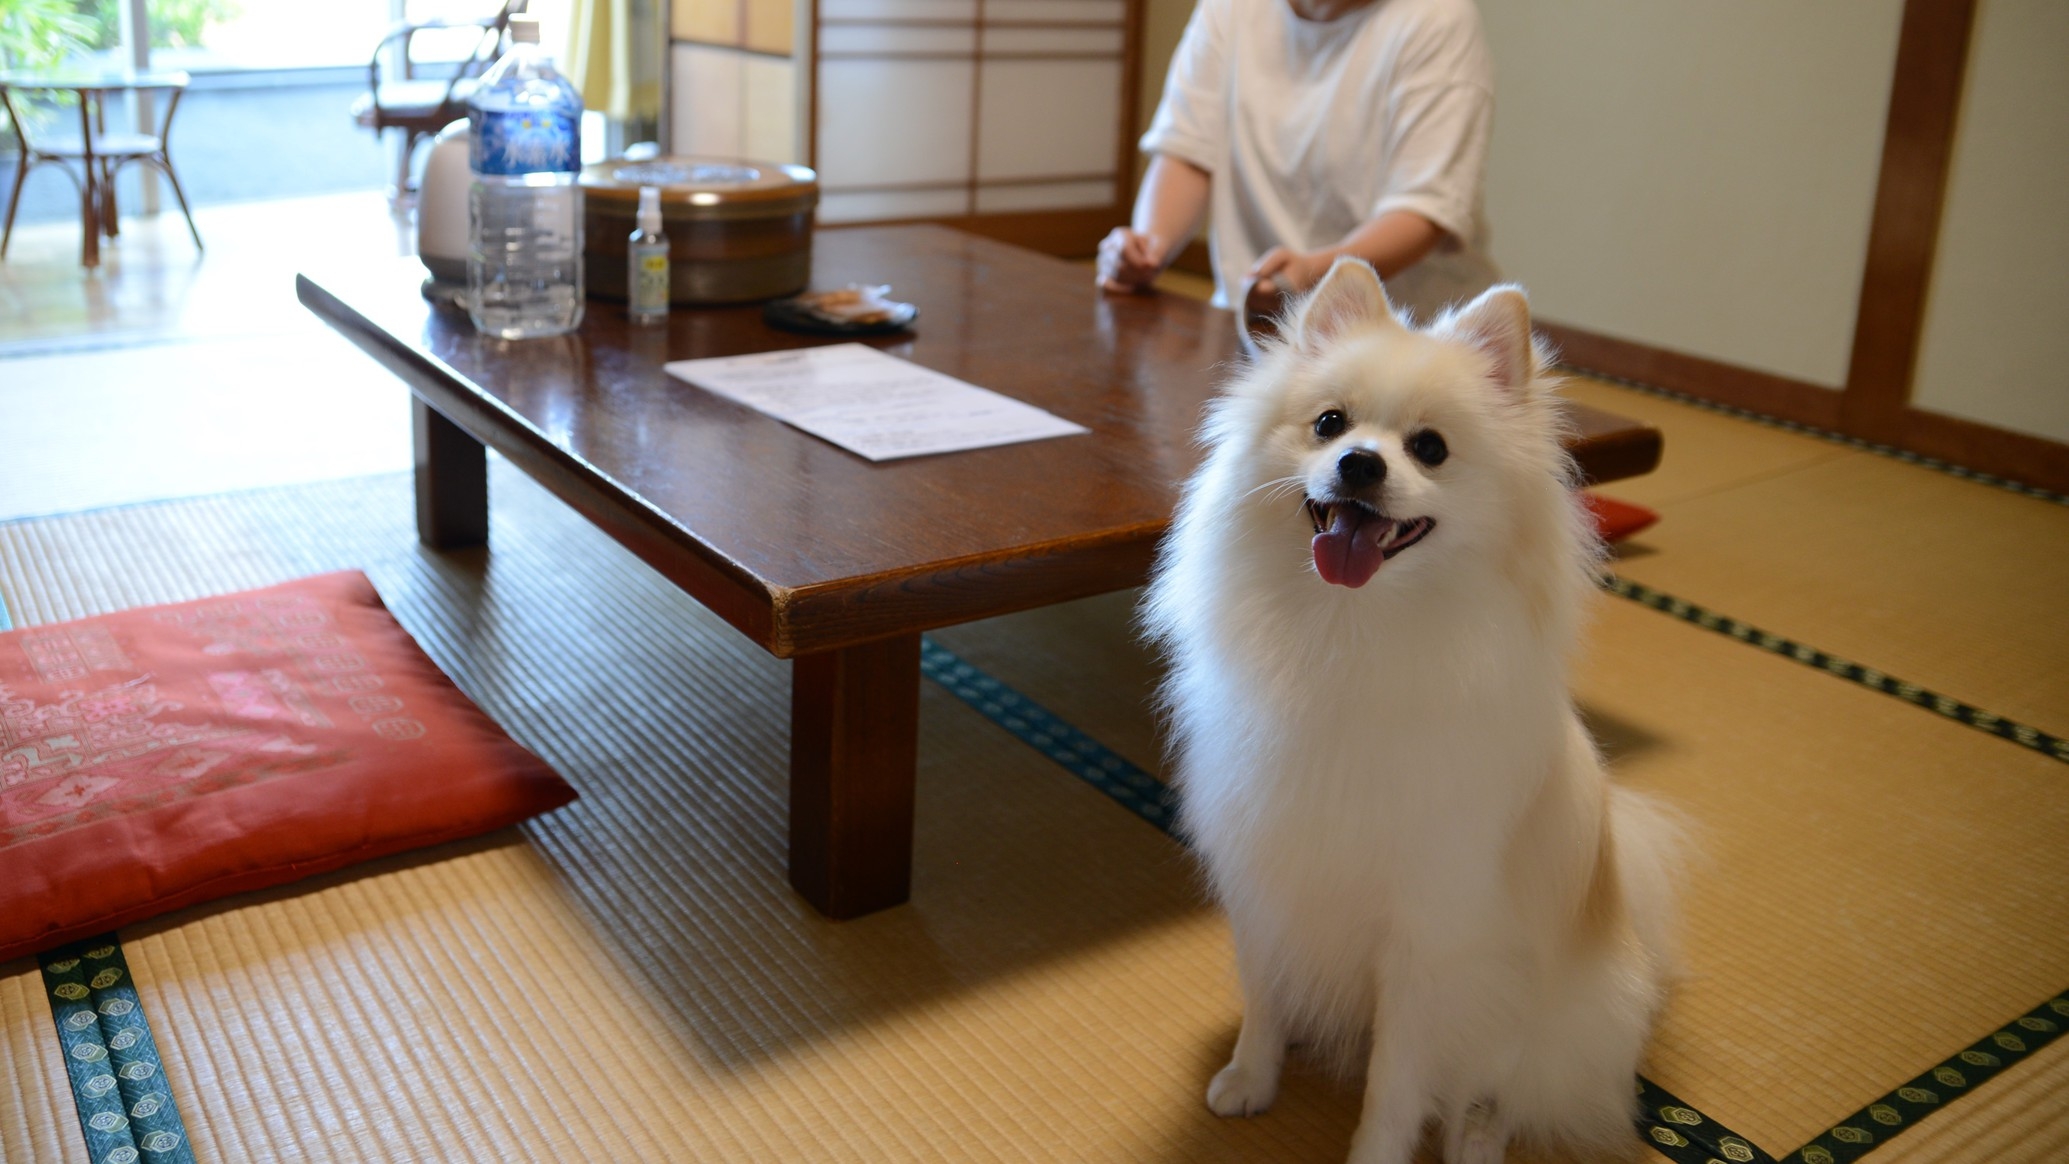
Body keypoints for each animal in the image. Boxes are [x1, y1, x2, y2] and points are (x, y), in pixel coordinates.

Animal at [1142, 259, 1688, 1157]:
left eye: (1429, 448)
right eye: (1329, 424)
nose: (1360, 463)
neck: (1344, 633)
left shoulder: (1423, 944)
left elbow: (1395, 1085)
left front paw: (1374, 1153)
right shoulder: (1263, 879)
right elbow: (1262, 996)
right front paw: (1252, 1078)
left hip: (1531, 1021)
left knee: (1498, 1091)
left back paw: (1475, 1139)